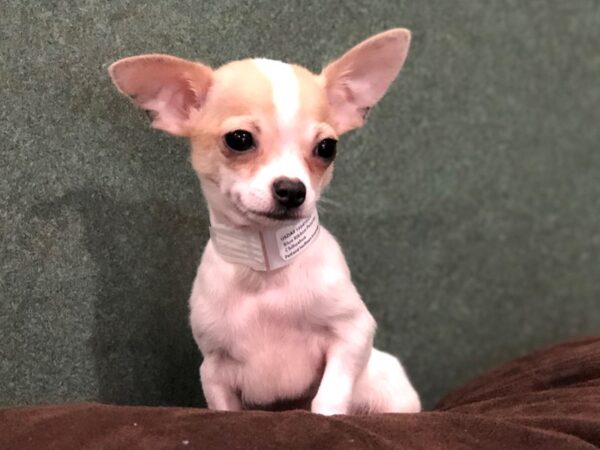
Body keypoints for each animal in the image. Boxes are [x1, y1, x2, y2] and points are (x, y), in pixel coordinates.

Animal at [109, 28, 418, 414]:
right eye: (239, 139)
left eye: (327, 148)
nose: (292, 189)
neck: (266, 271)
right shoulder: (214, 370)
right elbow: (224, 408)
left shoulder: (353, 333)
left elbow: (329, 395)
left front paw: (327, 413)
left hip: (387, 383)